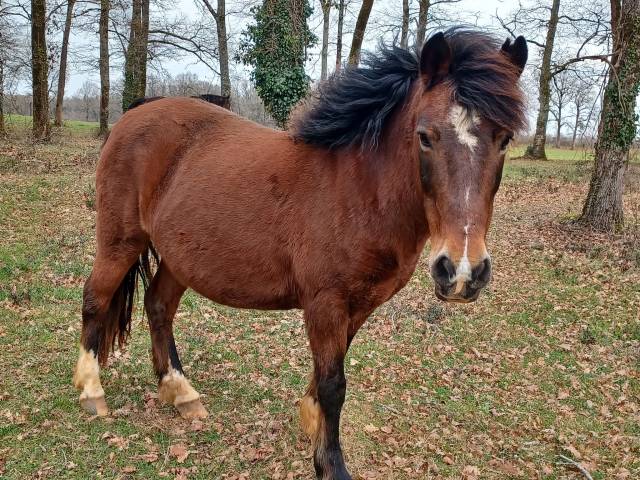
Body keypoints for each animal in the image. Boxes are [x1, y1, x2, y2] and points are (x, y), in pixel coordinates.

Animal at [72, 28, 528, 478]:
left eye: (504, 139)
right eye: (425, 136)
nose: (463, 271)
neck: (360, 190)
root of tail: (134, 116)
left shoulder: (357, 306)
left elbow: (329, 374)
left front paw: (310, 421)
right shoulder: (325, 303)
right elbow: (333, 385)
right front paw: (330, 464)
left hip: (178, 259)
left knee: (158, 307)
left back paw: (181, 392)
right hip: (120, 241)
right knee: (95, 299)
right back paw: (92, 392)